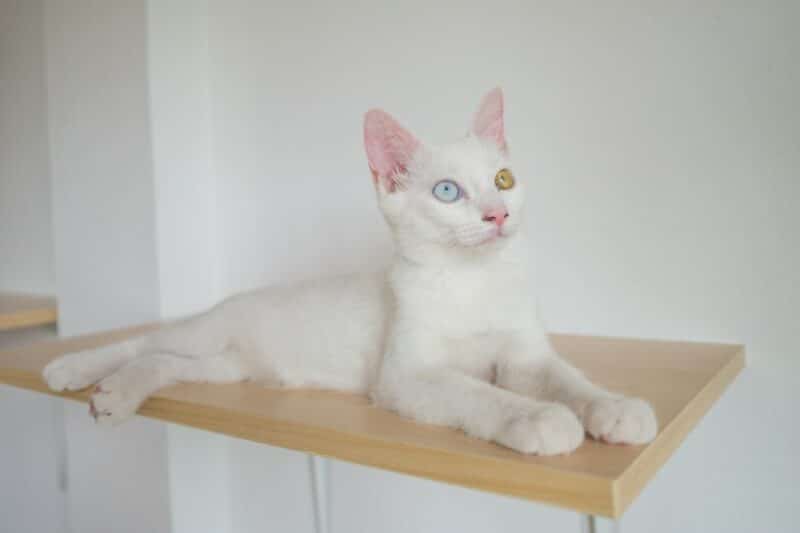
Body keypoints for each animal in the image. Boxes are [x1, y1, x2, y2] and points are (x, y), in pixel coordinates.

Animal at [43, 89, 656, 456]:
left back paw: (115, 393)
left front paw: (615, 408)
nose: (498, 214)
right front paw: (541, 420)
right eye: (447, 192)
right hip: (204, 334)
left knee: (164, 362)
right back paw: (76, 372)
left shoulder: (526, 357)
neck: (473, 282)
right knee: (140, 343)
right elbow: (481, 394)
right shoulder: (407, 378)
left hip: (226, 367)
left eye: (503, 180)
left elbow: (570, 379)